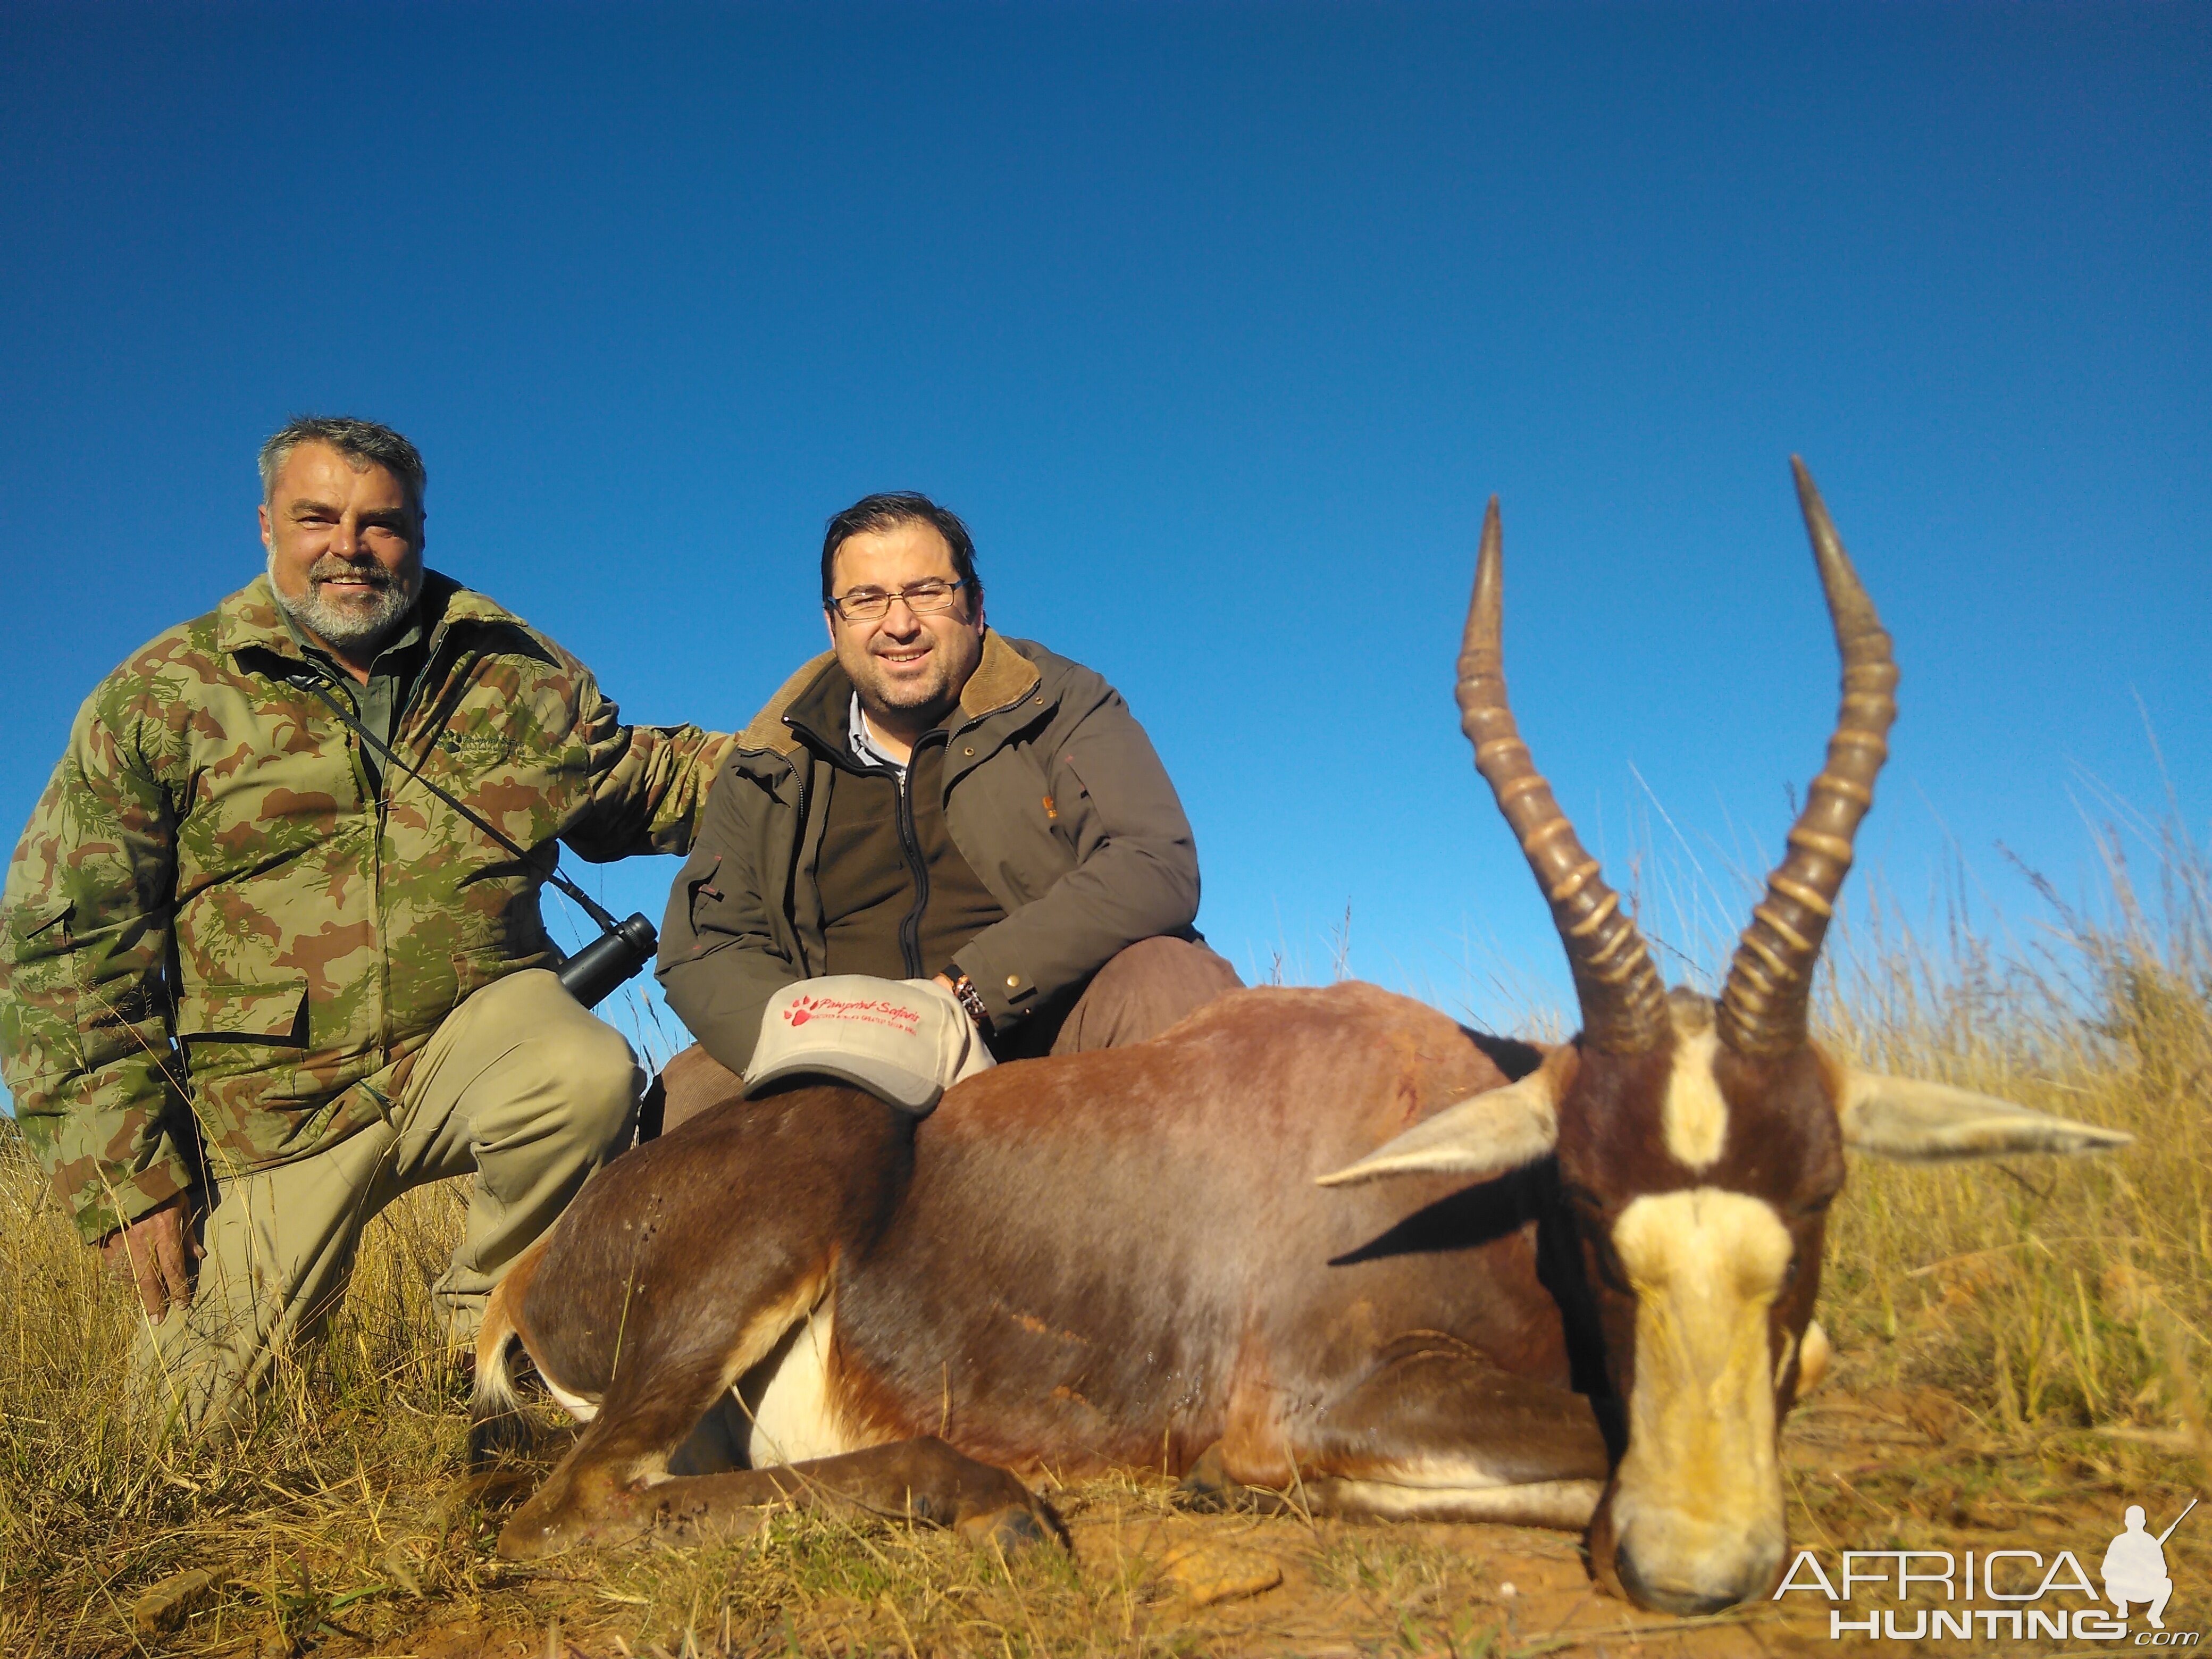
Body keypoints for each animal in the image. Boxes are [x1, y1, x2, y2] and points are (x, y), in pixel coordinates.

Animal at [471, 462, 2123, 1619]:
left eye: (1823, 1190)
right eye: (1587, 1198)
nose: (1696, 1562)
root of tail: (537, 1277)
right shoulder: (1331, 1404)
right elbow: (1591, 1456)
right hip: (809, 1175)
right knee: (573, 1506)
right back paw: (994, 1501)